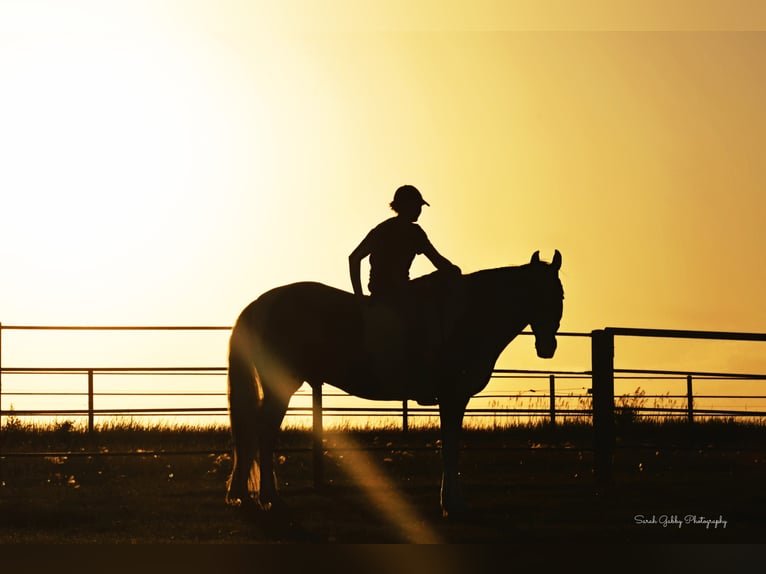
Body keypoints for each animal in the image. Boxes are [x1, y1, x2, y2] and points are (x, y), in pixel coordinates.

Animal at [224, 250, 564, 520]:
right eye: (541, 294)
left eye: (559, 296)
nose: (548, 346)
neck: (468, 316)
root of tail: (260, 304)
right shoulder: (452, 396)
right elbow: (450, 448)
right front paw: (452, 504)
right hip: (281, 385)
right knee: (263, 433)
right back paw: (269, 498)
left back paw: (246, 495)